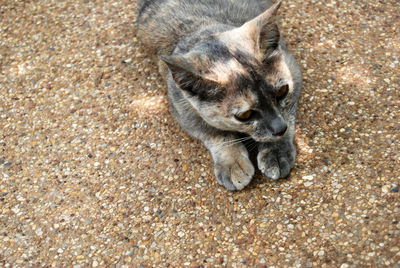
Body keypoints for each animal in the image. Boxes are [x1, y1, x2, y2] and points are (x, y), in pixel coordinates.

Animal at [136, 0, 302, 191]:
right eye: (245, 115)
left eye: (282, 92)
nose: (279, 129)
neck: (204, 29)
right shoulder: (181, 108)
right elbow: (215, 133)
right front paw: (232, 163)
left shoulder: (294, 73)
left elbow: (288, 114)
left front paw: (276, 151)